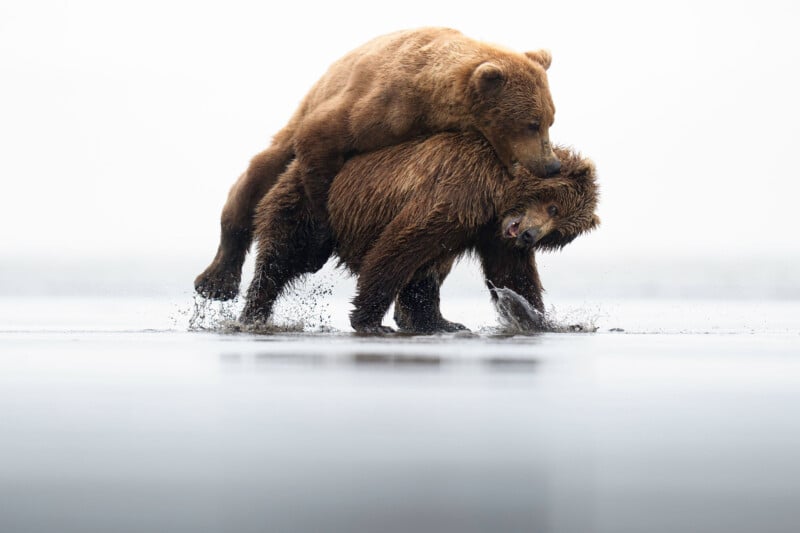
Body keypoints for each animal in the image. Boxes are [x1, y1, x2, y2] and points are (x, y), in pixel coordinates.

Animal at [195, 27, 561, 301]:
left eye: (550, 119)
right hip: (293, 128)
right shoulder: (378, 107)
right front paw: (320, 240)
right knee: (254, 182)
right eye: (531, 123)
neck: (433, 101)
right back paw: (216, 281)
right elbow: (319, 145)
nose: (552, 164)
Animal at [239, 132, 599, 334]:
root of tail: (292, 165)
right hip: (314, 208)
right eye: (554, 207)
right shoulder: (459, 192)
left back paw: (443, 323)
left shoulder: (490, 231)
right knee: (284, 257)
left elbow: (512, 274)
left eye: (558, 233)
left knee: (429, 270)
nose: (529, 236)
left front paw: (540, 318)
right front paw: (369, 320)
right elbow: (400, 245)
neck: (497, 194)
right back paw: (253, 314)